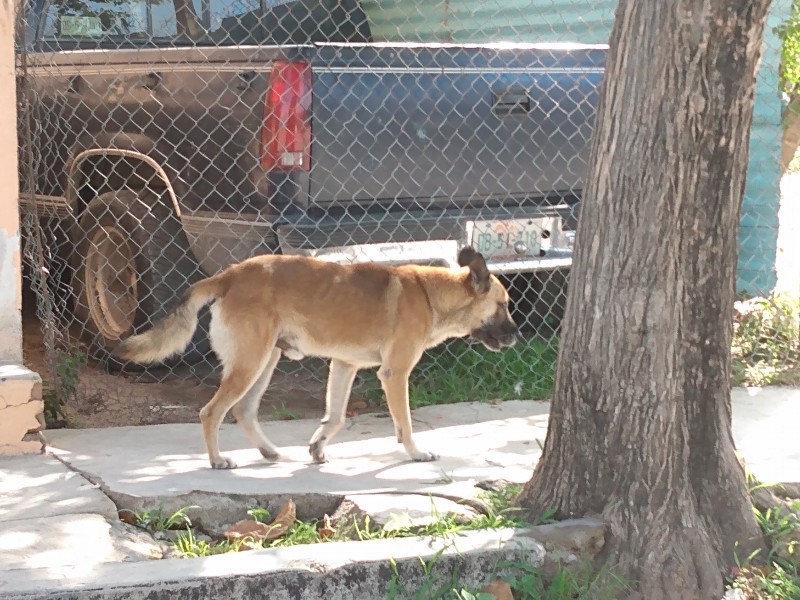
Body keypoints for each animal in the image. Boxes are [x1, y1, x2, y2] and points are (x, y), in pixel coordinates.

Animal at [114, 247, 520, 468]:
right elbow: (404, 424)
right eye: (503, 305)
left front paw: (318, 446)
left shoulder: (344, 366)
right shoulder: (394, 374)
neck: (430, 294)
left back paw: (268, 451)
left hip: (264, 362)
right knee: (211, 412)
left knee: (243, 410)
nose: (518, 335)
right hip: (250, 363)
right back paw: (216, 460)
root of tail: (229, 275)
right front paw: (416, 453)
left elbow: (336, 416)